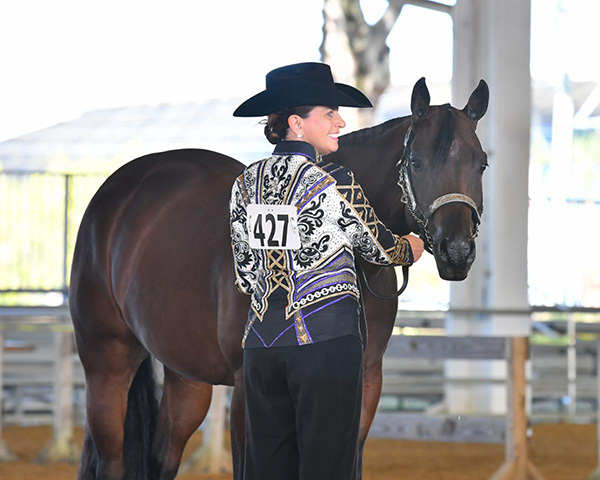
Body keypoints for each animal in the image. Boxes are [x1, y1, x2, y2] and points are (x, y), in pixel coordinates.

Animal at [71, 77, 488, 478]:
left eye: (481, 163)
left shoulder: (365, 386)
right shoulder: (246, 390)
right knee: (110, 462)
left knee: (162, 459)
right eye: (415, 162)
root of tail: (114, 193)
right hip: (106, 364)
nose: (456, 250)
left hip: (185, 378)